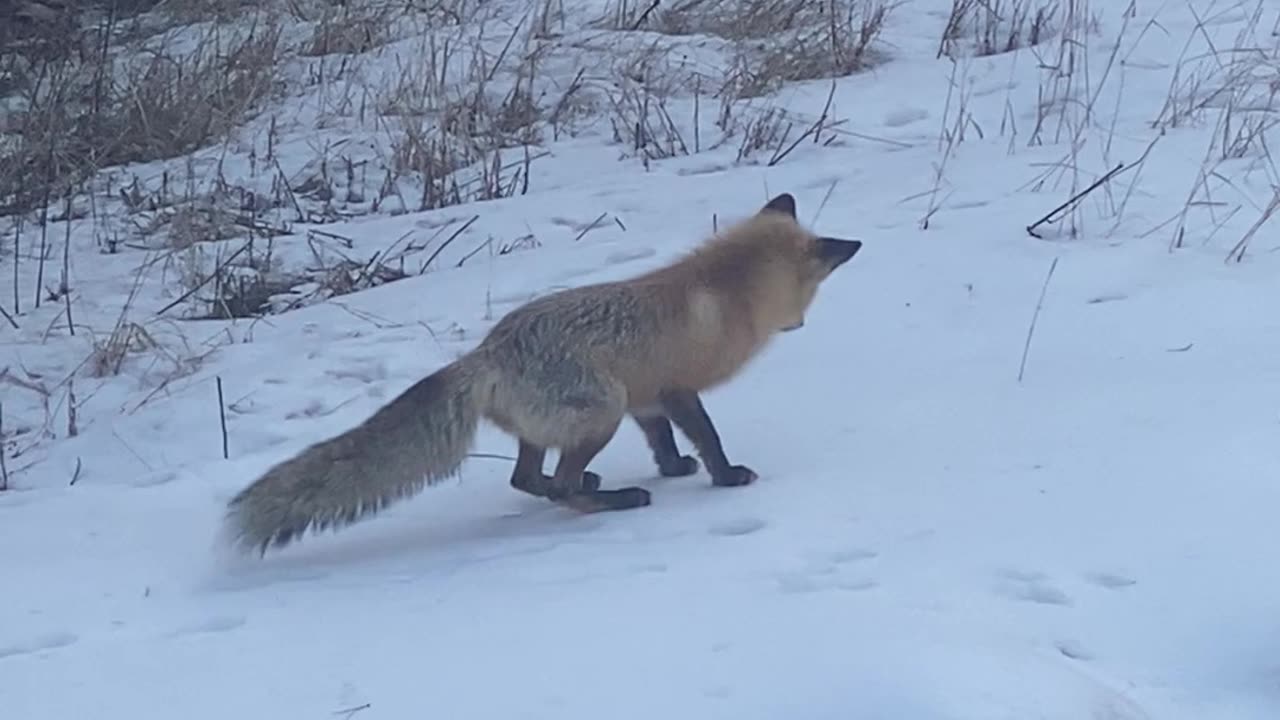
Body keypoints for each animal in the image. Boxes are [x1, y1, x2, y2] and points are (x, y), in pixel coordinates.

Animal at [222, 192, 860, 556]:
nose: (800, 324)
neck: (726, 294)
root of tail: (487, 352)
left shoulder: (646, 397)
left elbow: (662, 443)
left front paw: (675, 469)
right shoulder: (675, 388)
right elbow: (709, 438)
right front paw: (723, 478)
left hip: (569, 421)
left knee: (528, 480)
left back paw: (592, 488)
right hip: (601, 412)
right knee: (558, 486)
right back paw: (613, 500)